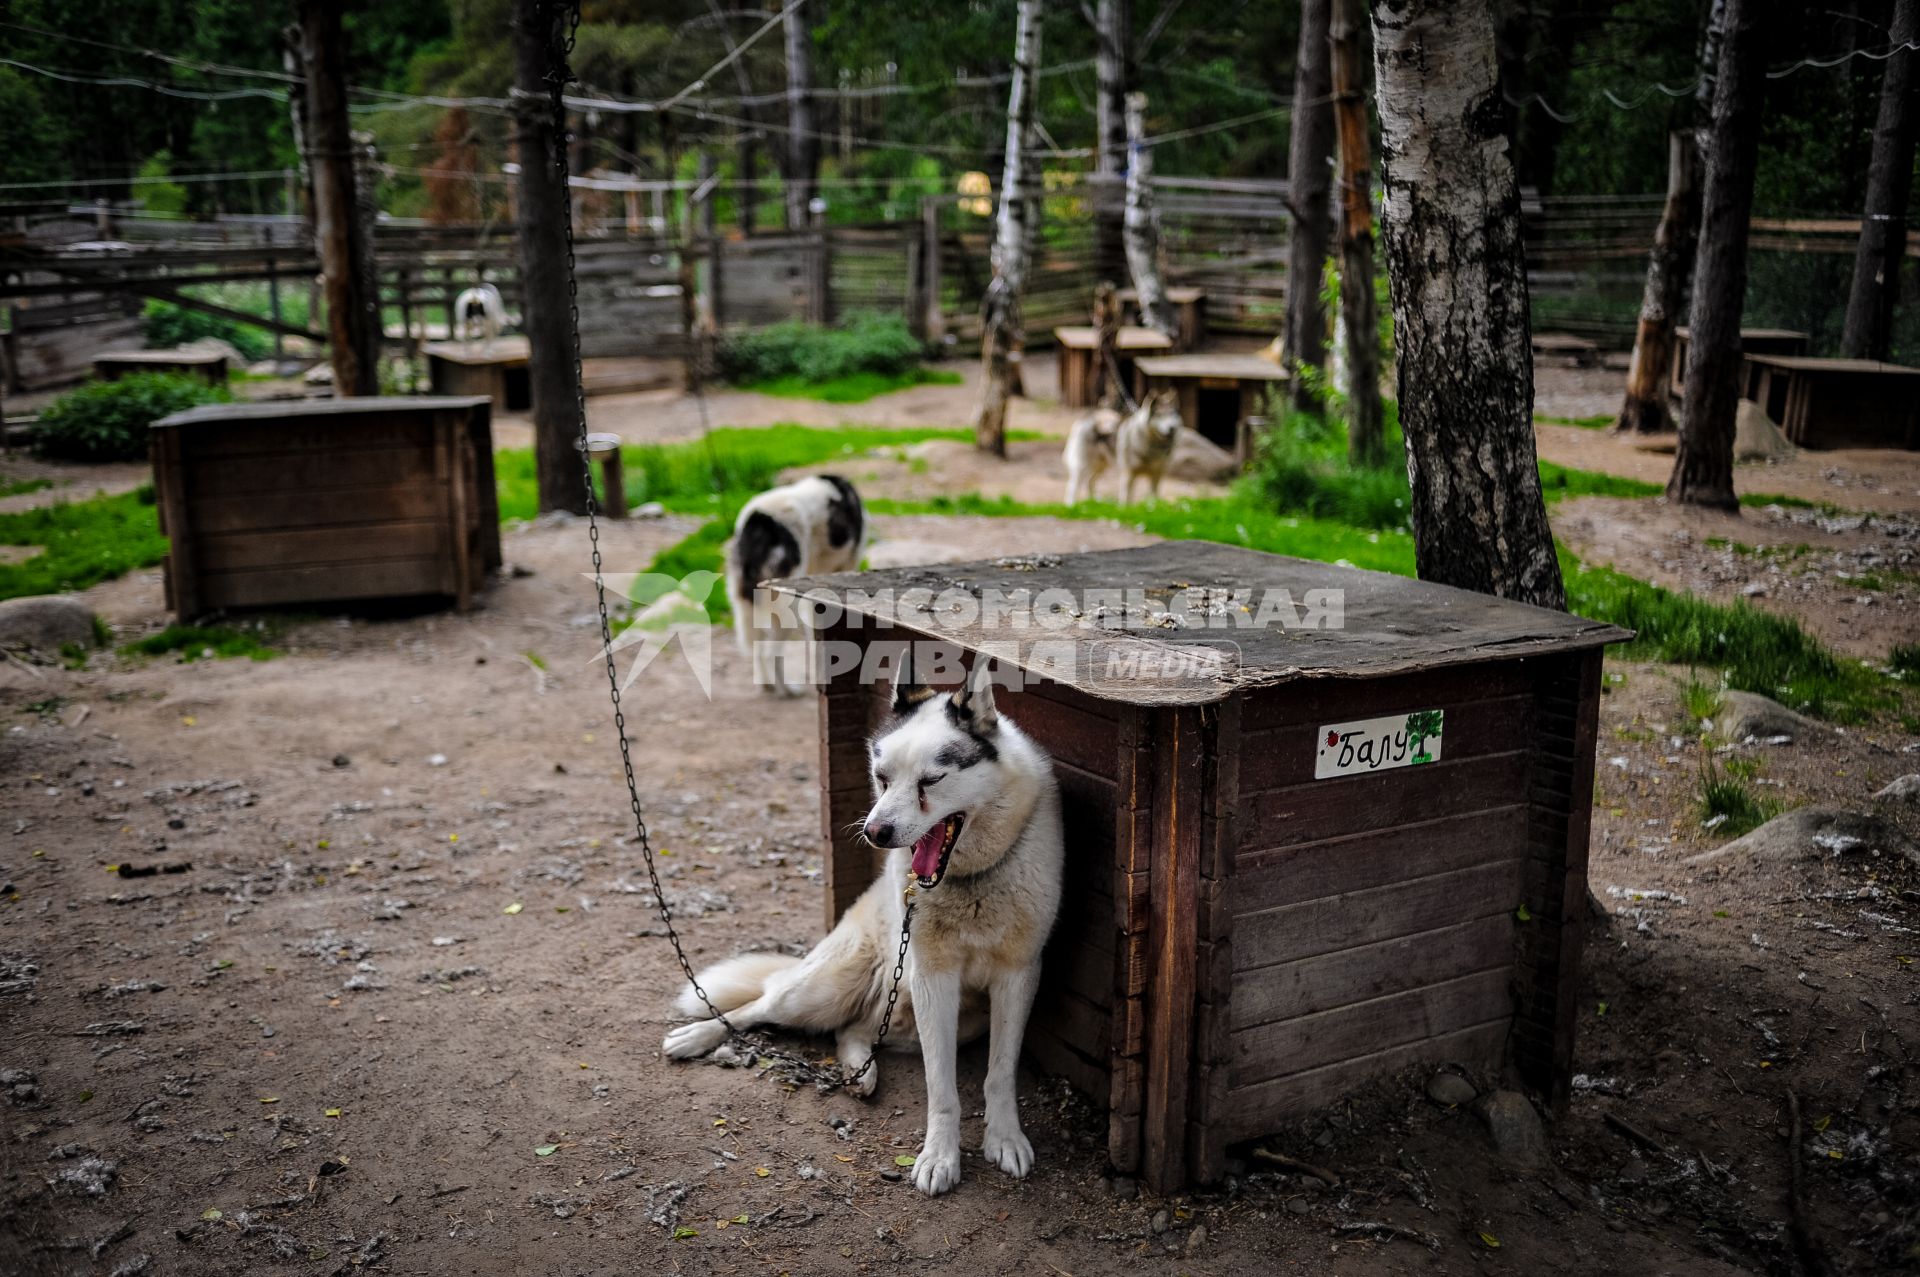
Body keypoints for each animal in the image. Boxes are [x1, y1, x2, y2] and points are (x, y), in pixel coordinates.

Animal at [668, 656, 1067, 1198]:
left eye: (931, 780)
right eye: (882, 777)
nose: (875, 832)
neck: (971, 882)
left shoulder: (1017, 976)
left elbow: (999, 1075)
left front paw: (1003, 1139)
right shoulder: (933, 979)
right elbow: (942, 1089)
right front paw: (939, 1157)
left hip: (934, 1014)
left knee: (850, 1029)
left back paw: (860, 1071)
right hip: (824, 989)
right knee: (759, 1007)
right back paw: (695, 1037)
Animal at [721, 476, 867, 698]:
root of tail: (758, 522)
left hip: (748, 607)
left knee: (758, 648)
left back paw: (767, 685)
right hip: (786, 611)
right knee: (770, 654)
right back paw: (788, 690)